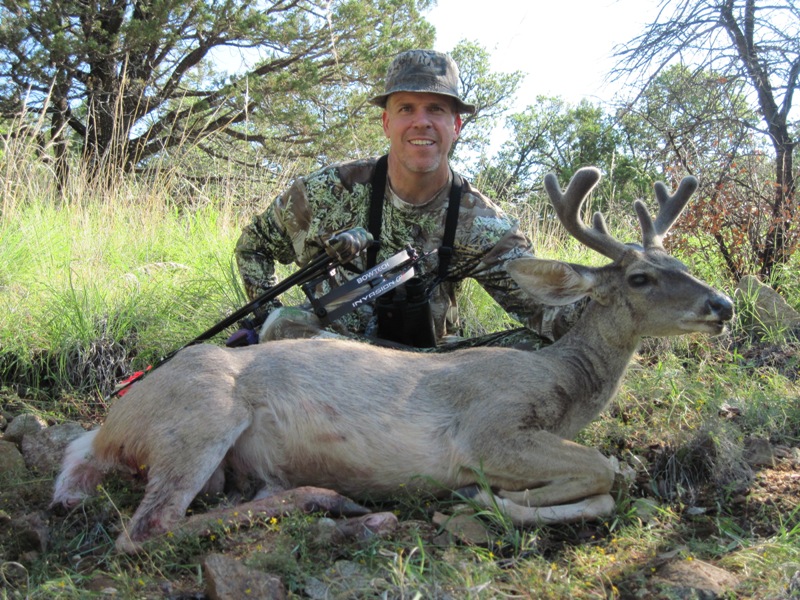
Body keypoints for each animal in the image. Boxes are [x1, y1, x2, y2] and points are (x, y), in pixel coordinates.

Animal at [53, 165, 736, 552]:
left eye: (683, 263)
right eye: (642, 277)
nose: (723, 304)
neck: (563, 382)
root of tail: (111, 423)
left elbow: (613, 476)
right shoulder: (489, 427)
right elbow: (604, 472)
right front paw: (488, 499)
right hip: (200, 417)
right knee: (145, 531)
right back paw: (335, 505)